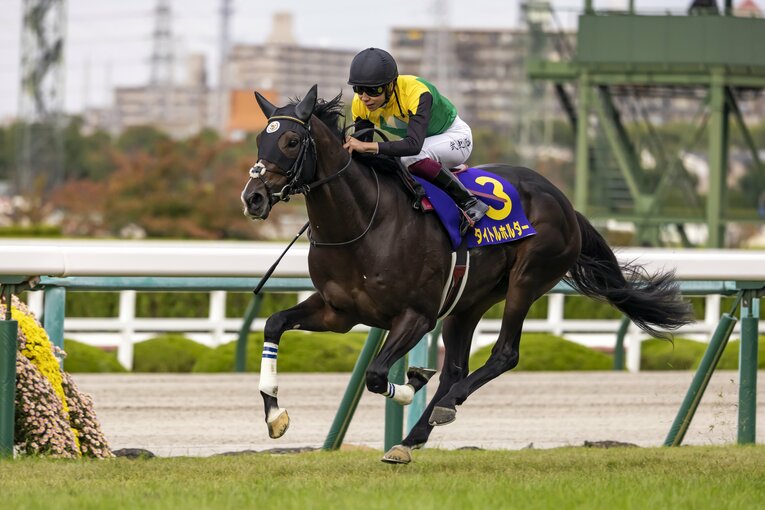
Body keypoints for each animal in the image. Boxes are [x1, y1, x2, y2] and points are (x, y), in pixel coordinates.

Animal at [240, 85, 694, 464]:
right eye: (261, 139)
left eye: (292, 141)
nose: (254, 197)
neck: (364, 223)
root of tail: (565, 203)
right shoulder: (338, 312)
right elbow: (274, 324)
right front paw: (275, 415)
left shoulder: (416, 316)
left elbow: (377, 375)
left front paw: (414, 380)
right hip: (468, 301)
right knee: (457, 367)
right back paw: (410, 440)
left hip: (527, 280)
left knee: (502, 355)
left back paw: (443, 407)